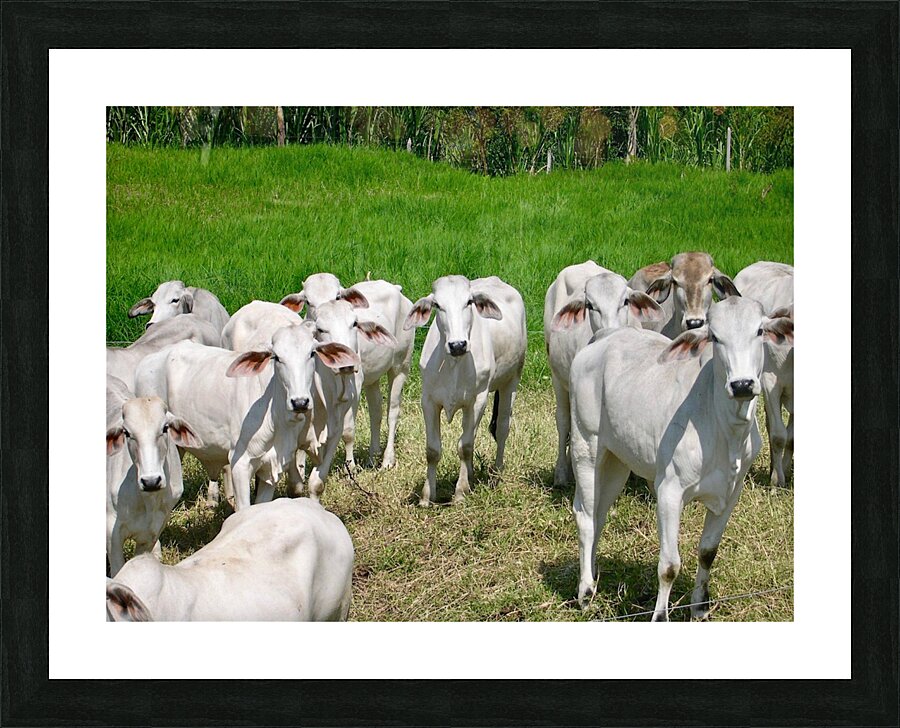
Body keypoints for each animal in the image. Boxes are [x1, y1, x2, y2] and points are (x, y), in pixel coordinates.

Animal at [106, 375, 201, 576]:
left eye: (165, 428)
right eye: (127, 433)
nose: (150, 481)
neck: (147, 500)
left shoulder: (151, 532)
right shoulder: (112, 533)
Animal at [405, 275, 526, 506]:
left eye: (469, 302)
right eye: (437, 305)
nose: (458, 344)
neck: (454, 363)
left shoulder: (478, 400)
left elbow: (465, 446)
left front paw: (460, 493)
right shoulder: (429, 401)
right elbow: (433, 450)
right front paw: (427, 496)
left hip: (511, 381)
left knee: (501, 428)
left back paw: (496, 473)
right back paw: (469, 474)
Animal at [568, 296, 793, 620]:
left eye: (760, 331)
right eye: (715, 337)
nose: (742, 385)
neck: (726, 431)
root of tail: (605, 336)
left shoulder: (731, 493)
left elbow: (708, 552)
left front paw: (700, 607)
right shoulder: (669, 492)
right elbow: (669, 565)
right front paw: (660, 616)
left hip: (617, 461)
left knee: (599, 513)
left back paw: (595, 576)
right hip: (587, 446)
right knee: (585, 516)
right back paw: (585, 591)